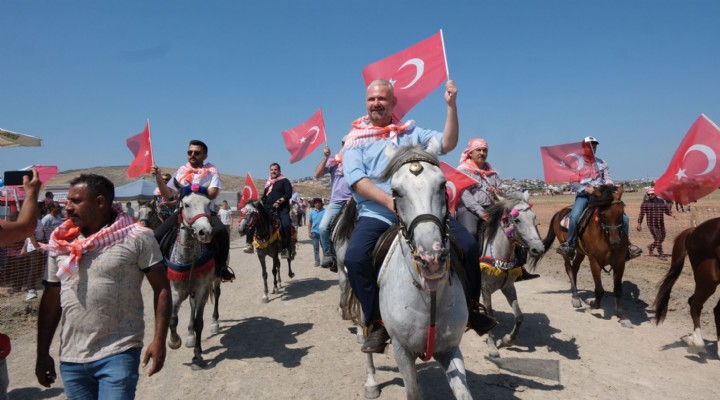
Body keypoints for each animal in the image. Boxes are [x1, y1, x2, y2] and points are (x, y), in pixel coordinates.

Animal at [165, 189, 219, 370]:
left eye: (208, 204)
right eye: (186, 204)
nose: (205, 232)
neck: (189, 258)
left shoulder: (202, 289)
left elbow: (199, 322)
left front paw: (197, 355)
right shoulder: (176, 291)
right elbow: (173, 319)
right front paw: (174, 341)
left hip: (214, 281)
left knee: (216, 295)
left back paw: (214, 324)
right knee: (191, 305)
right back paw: (190, 335)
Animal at [334, 144, 470, 400]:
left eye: (442, 185)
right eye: (395, 192)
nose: (431, 258)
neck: (429, 296)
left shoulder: (450, 348)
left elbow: (463, 393)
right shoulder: (402, 351)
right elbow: (412, 392)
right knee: (365, 336)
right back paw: (371, 382)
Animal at [478, 192, 544, 358]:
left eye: (534, 217)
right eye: (517, 219)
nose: (538, 249)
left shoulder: (508, 287)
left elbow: (519, 316)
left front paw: (507, 340)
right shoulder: (486, 289)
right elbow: (491, 315)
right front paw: (493, 347)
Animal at [544, 186, 632, 326]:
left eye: (621, 211)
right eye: (602, 214)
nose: (615, 241)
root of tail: (559, 212)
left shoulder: (620, 263)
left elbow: (618, 289)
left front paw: (622, 315)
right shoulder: (594, 261)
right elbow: (599, 290)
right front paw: (592, 303)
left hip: (580, 252)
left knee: (575, 268)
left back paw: (573, 291)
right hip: (566, 250)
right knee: (569, 268)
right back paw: (575, 297)